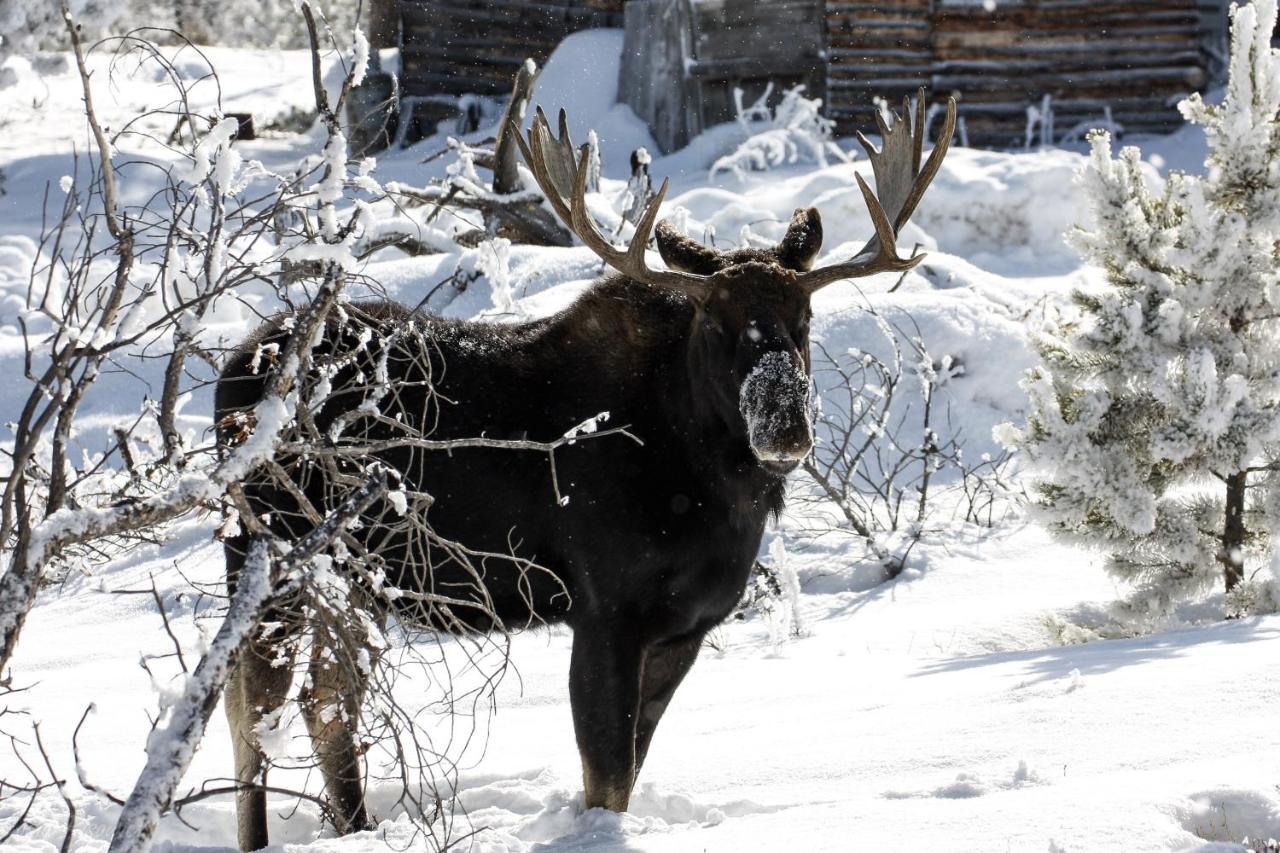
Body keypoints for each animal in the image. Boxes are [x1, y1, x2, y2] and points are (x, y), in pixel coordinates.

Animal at [215, 94, 957, 850]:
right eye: (715, 321)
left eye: (803, 318)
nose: (785, 426)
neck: (712, 489)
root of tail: (234, 368)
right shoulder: (605, 609)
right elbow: (606, 776)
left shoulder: (686, 627)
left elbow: (629, 766)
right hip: (267, 552)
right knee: (251, 708)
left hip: (354, 578)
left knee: (324, 700)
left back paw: (356, 826)